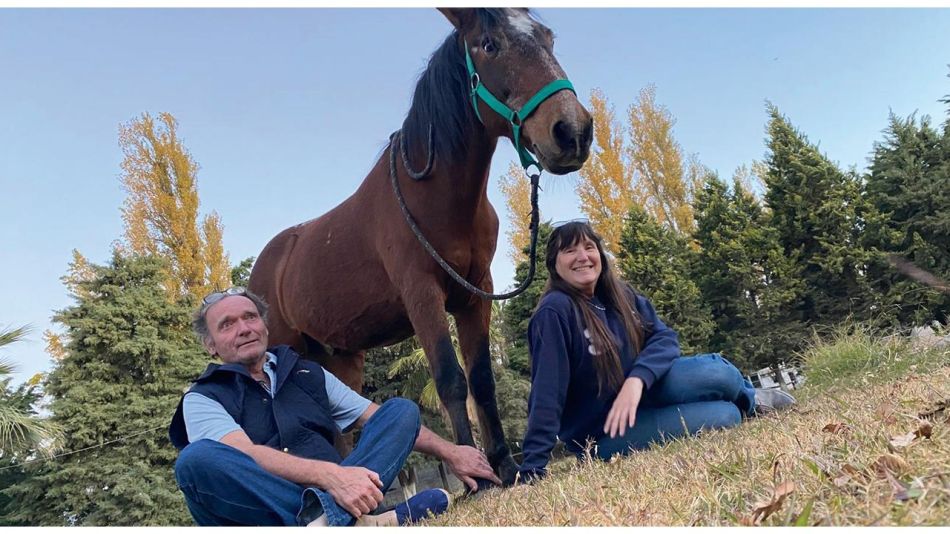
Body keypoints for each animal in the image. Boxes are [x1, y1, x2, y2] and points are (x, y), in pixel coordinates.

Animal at [248, 7, 592, 487]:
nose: (572, 131)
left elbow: (481, 379)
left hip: (340, 358)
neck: (433, 197)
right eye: (490, 45)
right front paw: (475, 478)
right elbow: (450, 378)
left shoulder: (476, 294)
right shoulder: (422, 293)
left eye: (548, 37)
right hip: (289, 347)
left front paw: (505, 466)